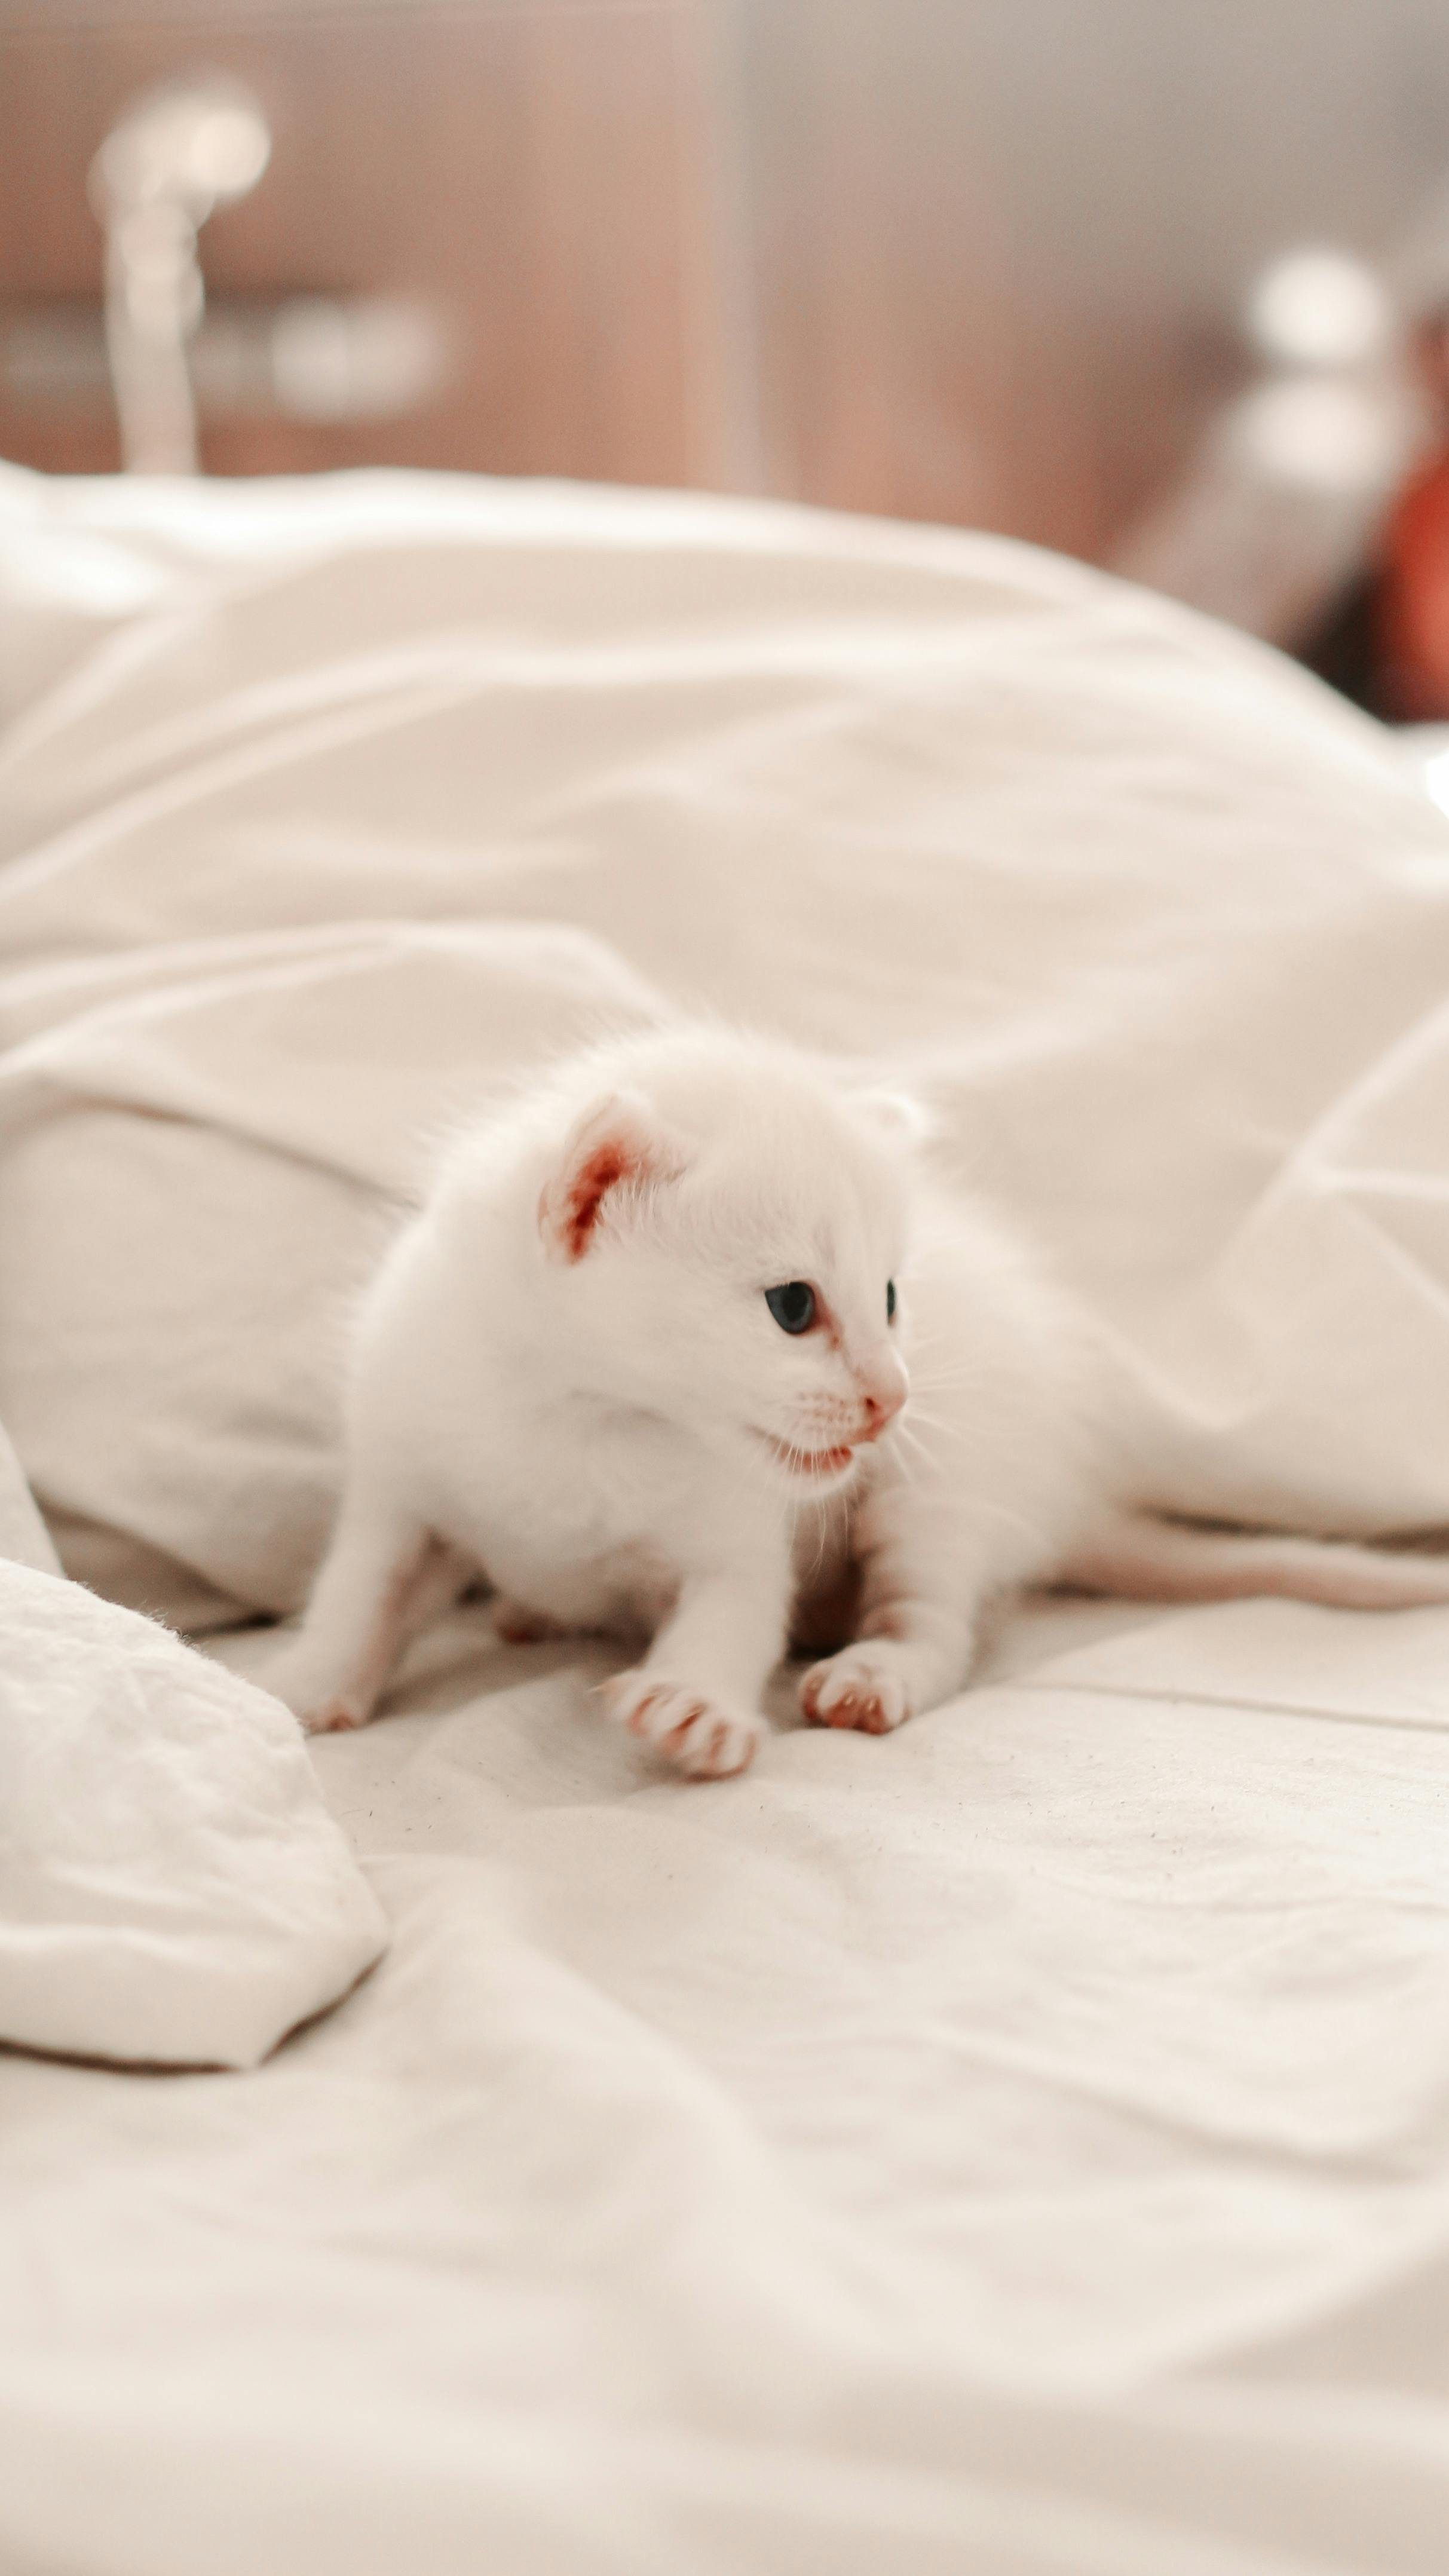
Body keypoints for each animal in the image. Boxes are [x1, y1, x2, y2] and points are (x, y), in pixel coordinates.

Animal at [266, 1025, 1449, 1772]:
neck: (587, 1412)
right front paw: (304, 1686)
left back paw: (877, 1668)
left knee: (943, 1620)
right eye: (794, 1306)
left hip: (945, 1486)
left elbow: (735, 1619)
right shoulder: (401, 1477)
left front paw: (696, 1708)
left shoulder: (739, 1542)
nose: (892, 1394)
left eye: (889, 1296)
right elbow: (357, 1591)